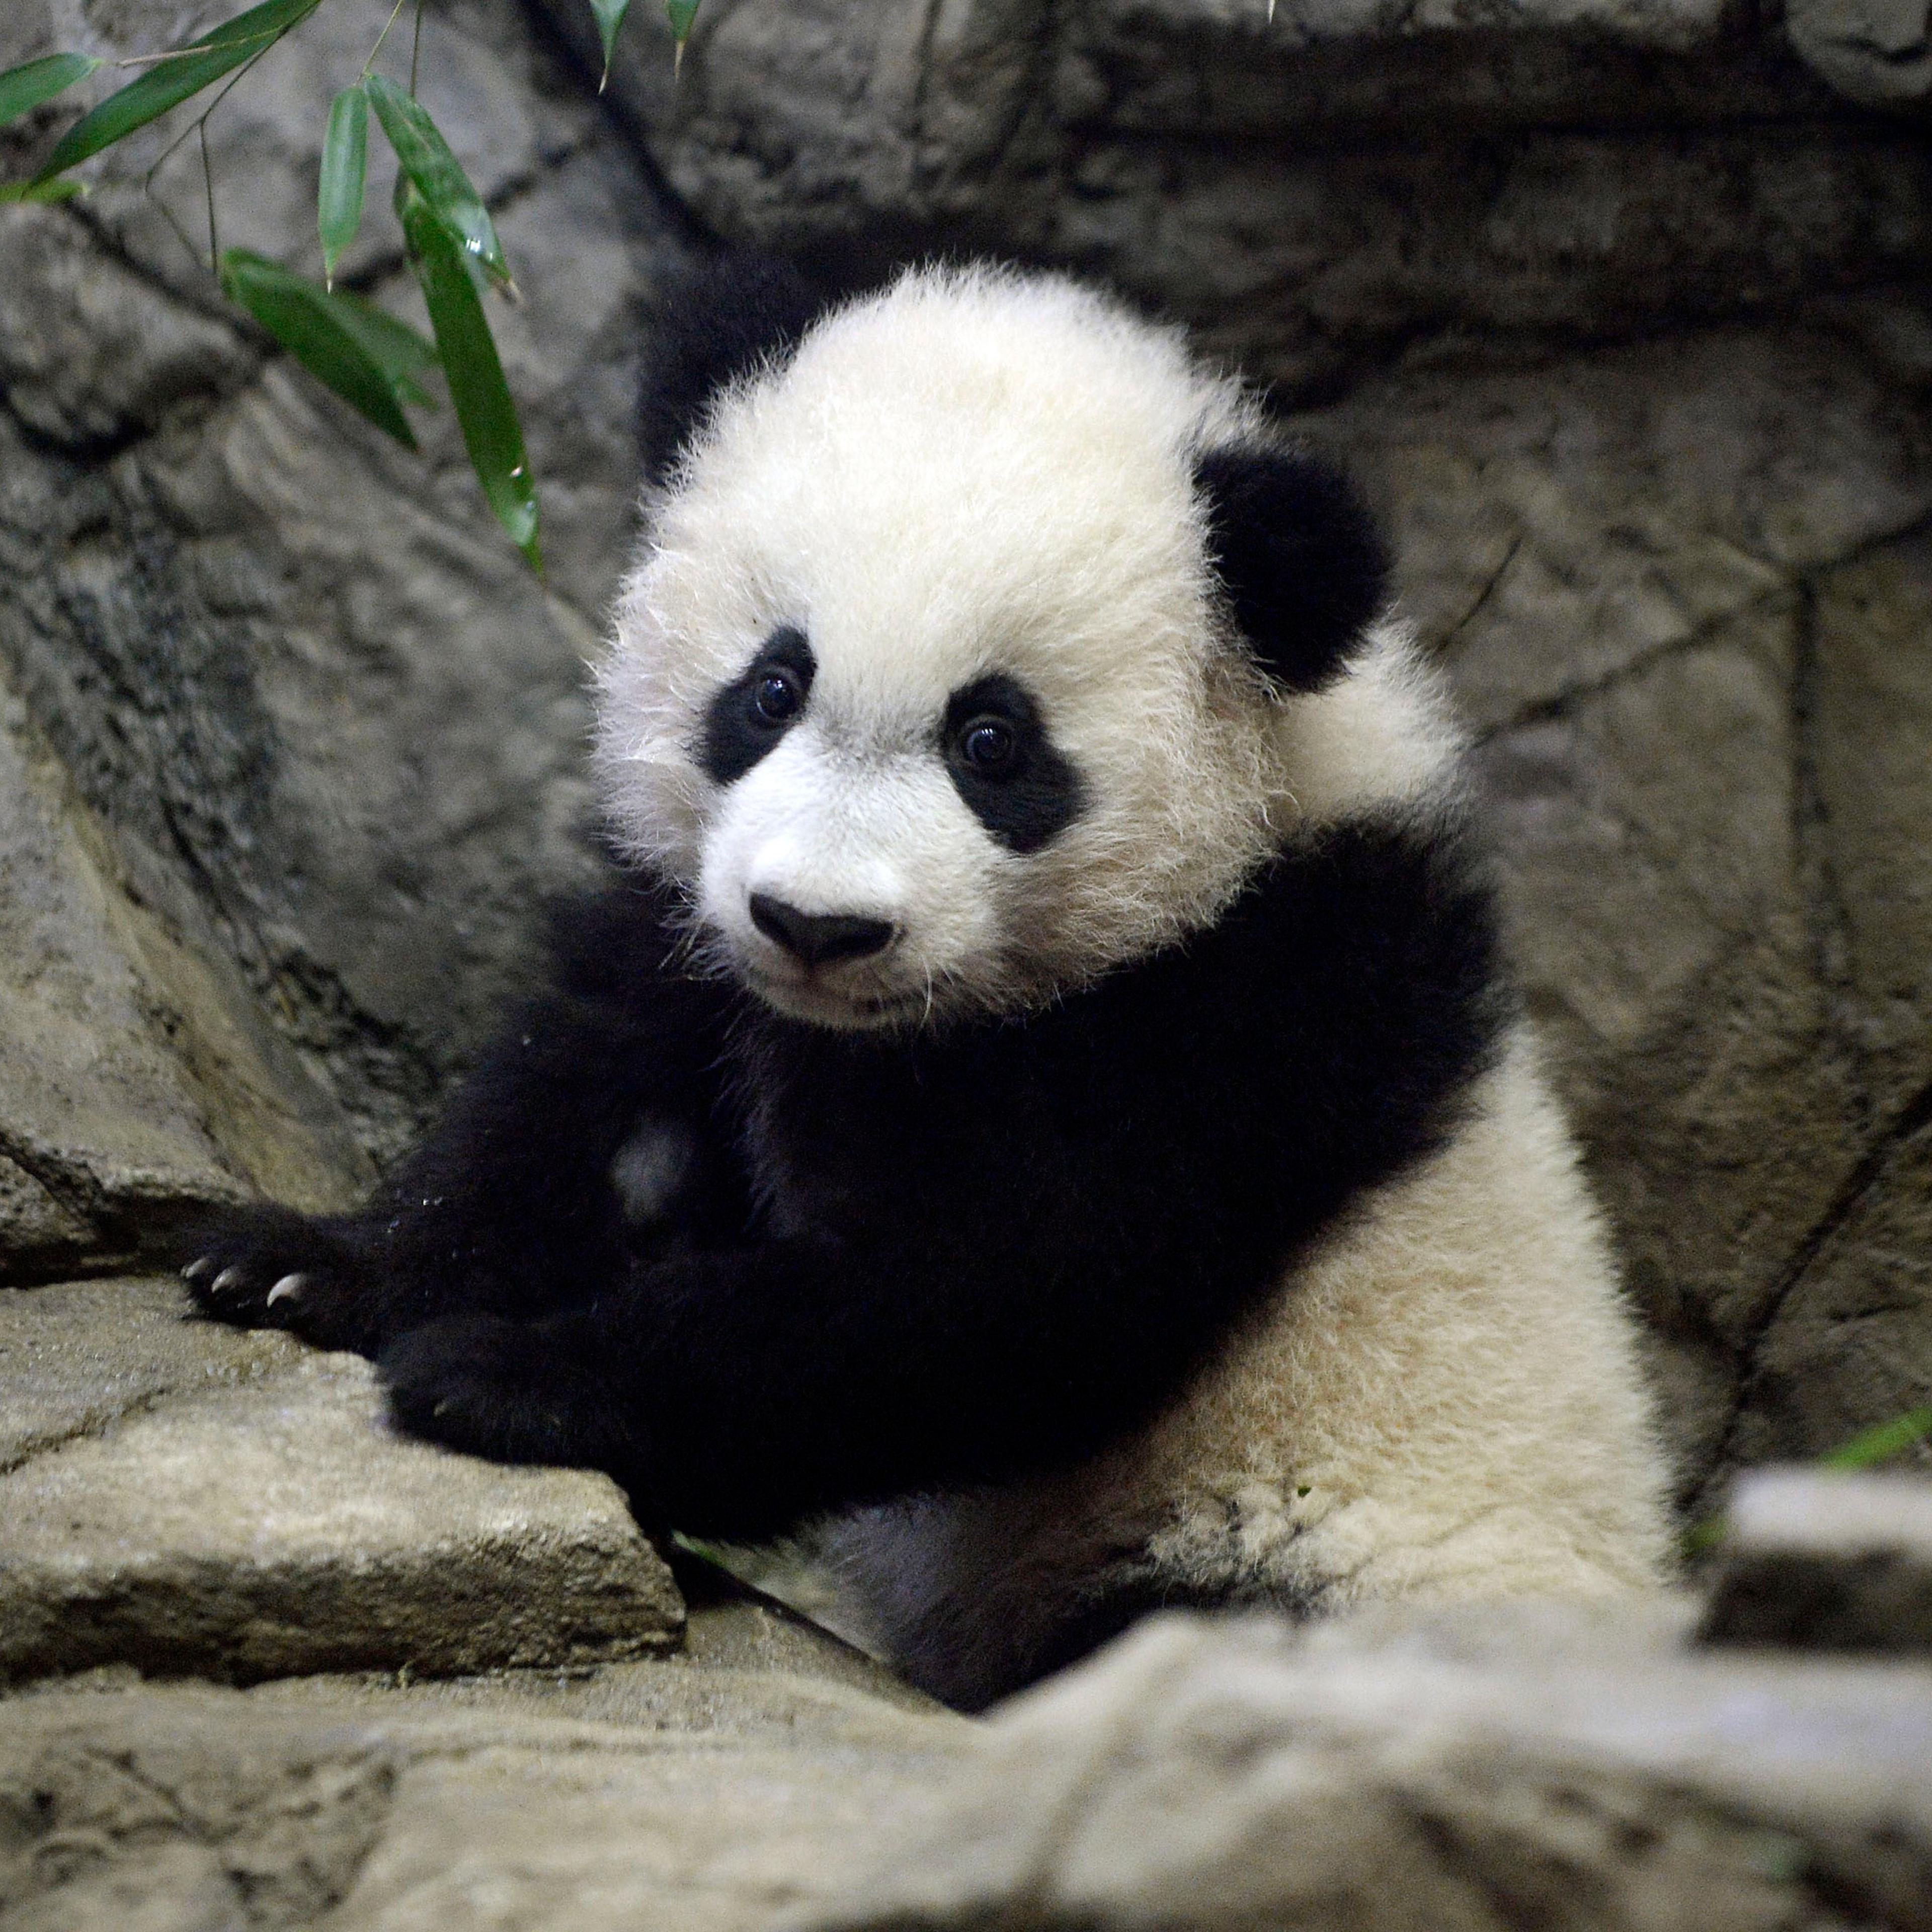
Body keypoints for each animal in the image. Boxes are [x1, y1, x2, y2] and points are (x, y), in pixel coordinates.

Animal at [187, 257, 1674, 1711]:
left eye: (992, 740)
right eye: (771, 686)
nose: (816, 925)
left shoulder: (1266, 998)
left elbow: (988, 1296)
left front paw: (504, 1376)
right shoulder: (708, 951)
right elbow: (587, 1105)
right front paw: (307, 1267)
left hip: (1351, 1555)